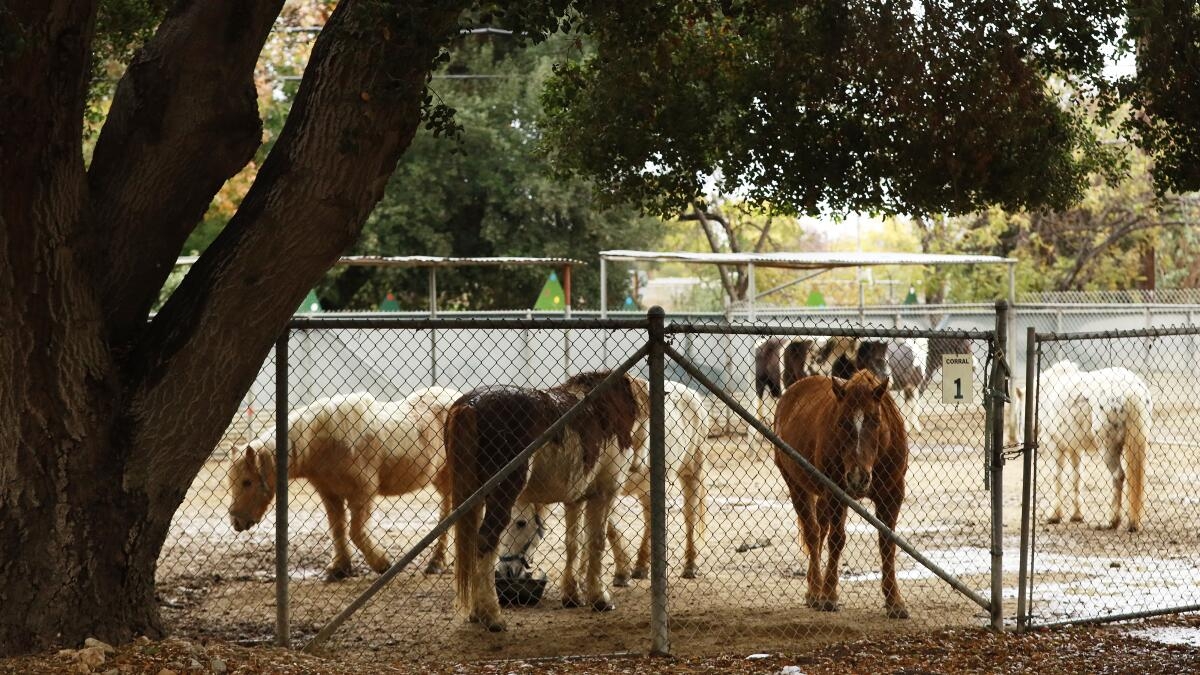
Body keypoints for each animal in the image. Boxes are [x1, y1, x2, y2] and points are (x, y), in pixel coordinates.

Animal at [227, 387, 463, 580]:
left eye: (247, 482)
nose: (237, 522)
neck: (324, 443)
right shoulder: (330, 493)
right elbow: (338, 528)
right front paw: (339, 568)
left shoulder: (363, 493)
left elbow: (355, 532)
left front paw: (382, 563)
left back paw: (437, 561)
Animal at [448, 371, 650, 632]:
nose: (639, 464)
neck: (604, 408)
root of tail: (470, 405)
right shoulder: (604, 494)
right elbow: (596, 543)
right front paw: (599, 599)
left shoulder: (576, 499)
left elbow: (574, 543)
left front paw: (572, 596)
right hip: (501, 494)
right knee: (485, 540)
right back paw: (492, 616)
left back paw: (476, 612)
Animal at [607, 379, 710, 584]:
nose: (637, 465)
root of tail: (692, 392)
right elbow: (609, 529)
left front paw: (622, 574)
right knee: (650, 520)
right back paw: (641, 567)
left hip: (692, 471)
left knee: (690, 516)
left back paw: (689, 567)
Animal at [773, 370, 911, 619]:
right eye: (842, 422)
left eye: (875, 420)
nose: (857, 477)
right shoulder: (836, 493)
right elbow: (836, 540)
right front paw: (828, 596)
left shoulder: (892, 495)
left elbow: (887, 543)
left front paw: (894, 601)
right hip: (797, 486)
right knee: (813, 533)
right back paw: (816, 591)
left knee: (820, 529)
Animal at [1011, 361, 1151, 531]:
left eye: (1018, 413)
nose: (1019, 440)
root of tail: (1130, 390)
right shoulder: (1075, 449)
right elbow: (1076, 478)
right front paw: (1077, 515)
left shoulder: (1055, 447)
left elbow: (1057, 477)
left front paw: (1054, 516)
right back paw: (1131, 522)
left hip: (1108, 449)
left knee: (1118, 476)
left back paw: (1112, 521)